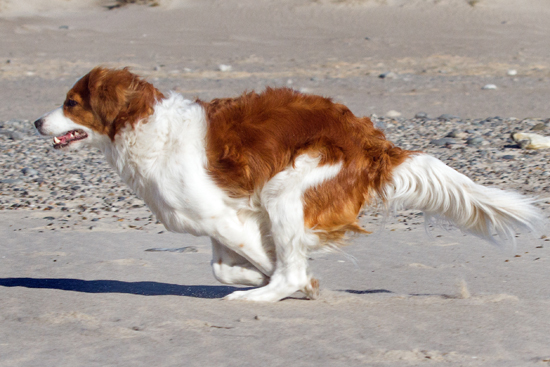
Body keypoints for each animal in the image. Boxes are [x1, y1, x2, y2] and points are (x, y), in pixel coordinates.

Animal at [33, 67, 544, 304]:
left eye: (72, 102)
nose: (36, 121)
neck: (144, 128)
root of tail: (373, 140)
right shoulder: (222, 218)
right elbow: (226, 267)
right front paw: (256, 277)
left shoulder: (226, 215)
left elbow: (278, 265)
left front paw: (297, 284)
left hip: (285, 189)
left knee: (289, 270)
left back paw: (259, 297)